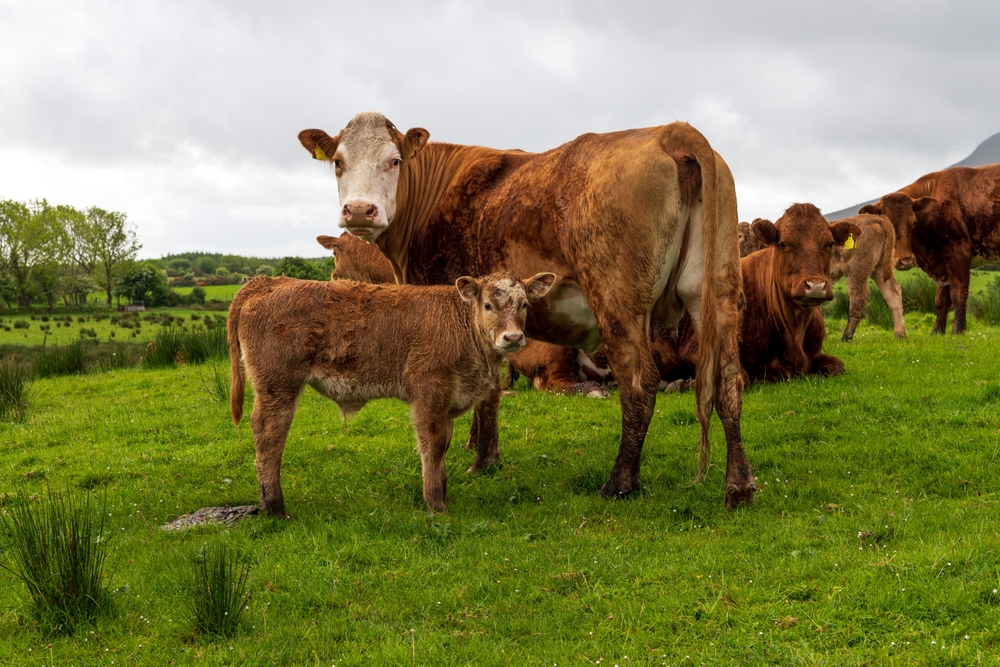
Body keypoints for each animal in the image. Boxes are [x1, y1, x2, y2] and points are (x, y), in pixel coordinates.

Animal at [228, 271, 556, 516]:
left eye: (524, 305)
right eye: (488, 305)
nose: (512, 337)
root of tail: (268, 281)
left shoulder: (448, 399)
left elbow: (445, 444)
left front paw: (443, 491)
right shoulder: (429, 392)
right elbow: (434, 445)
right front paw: (435, 503)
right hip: (278, 386)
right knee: (269, 435)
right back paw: (274, 507)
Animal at [298, 111, 755, 508]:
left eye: (394, 160)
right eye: (338, 162)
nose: (360, 210)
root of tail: (672, 131)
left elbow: (486, 394)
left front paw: (482, 460)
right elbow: (489, 387)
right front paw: (481, 450)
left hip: (618, 304)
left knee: (641, 384)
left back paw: (620, 482)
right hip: (716, 294)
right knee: (729, 382)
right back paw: (738, 486)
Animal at [860, 164, 1000, 333]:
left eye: (913, 222)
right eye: (888, 224)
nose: (906, 261)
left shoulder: (958, 250)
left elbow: (958, 293)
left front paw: (958, 330)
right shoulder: (945, 262)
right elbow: (941, 299)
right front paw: (937, 332)